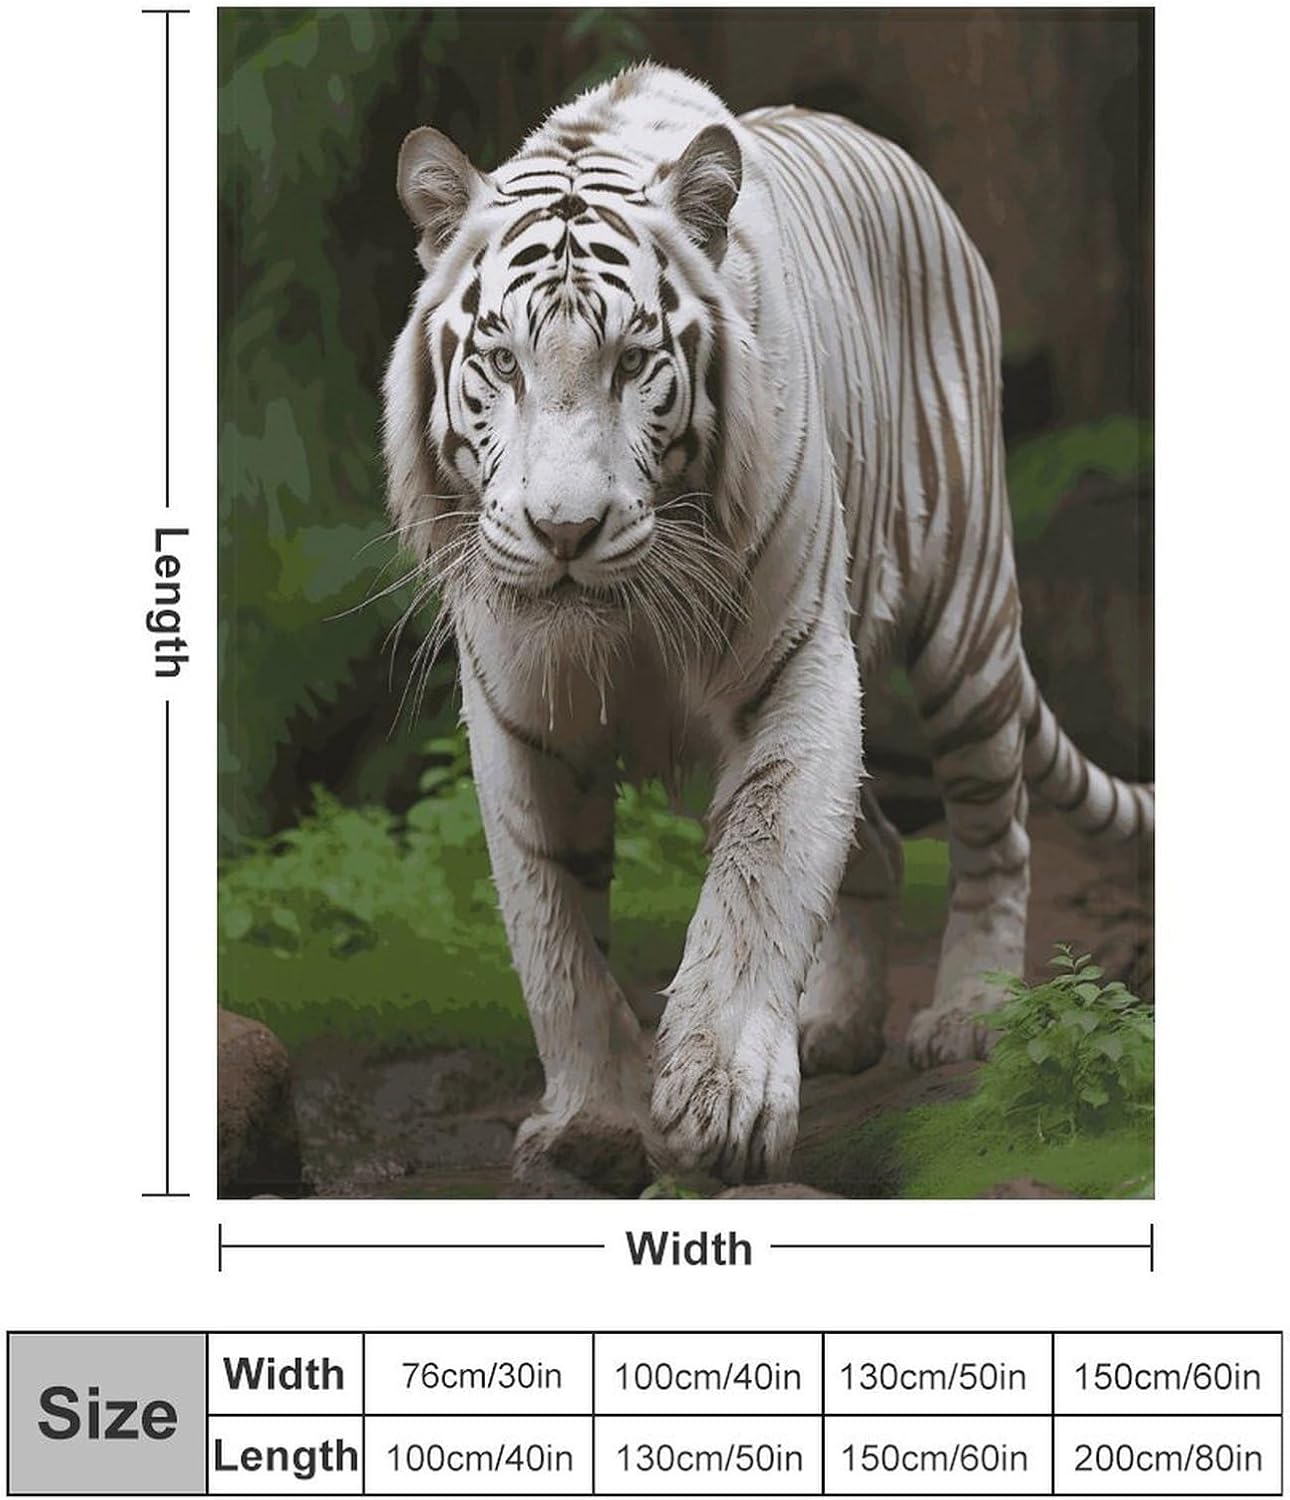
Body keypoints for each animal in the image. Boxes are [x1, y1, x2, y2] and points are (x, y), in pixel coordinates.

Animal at [381, 63, 1154, 1192]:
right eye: (504, 363)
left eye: (632, 362)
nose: (565, 530)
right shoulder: (521, 719)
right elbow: (554, 932)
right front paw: (592, 1119)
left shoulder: (797, 669)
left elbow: (761, 876)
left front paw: (721, 1104)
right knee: (881, 842)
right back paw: (835, 1025)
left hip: (962, 624)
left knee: (993, 827)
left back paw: (969, 1015)